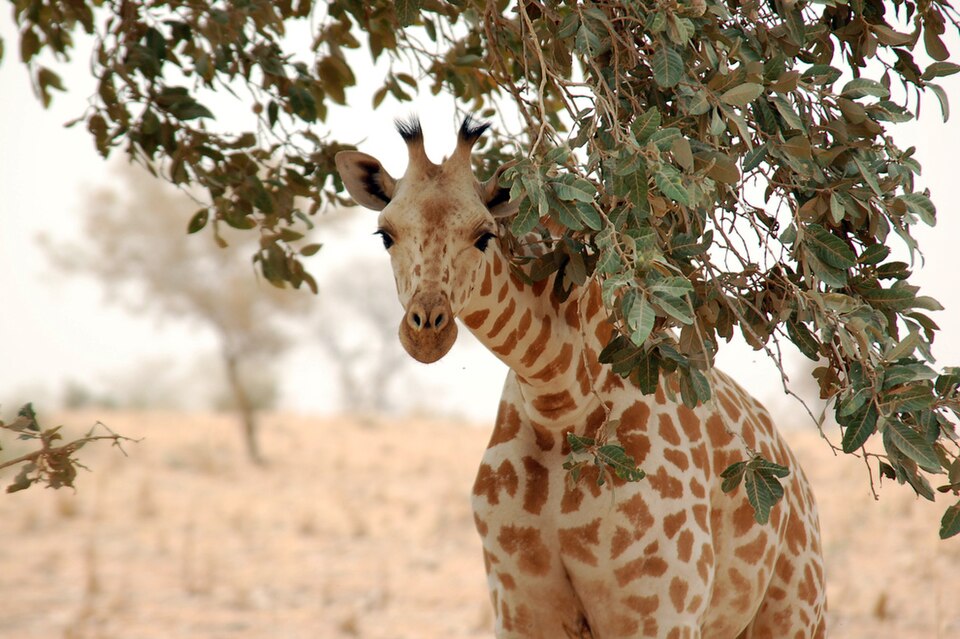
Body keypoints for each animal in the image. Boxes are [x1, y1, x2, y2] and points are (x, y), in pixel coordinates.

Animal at [335, 117, 827, 639]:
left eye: (484, 235)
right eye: (386, 234)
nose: (427, 330)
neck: (559, 402)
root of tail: (798, 480)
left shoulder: (664, 611)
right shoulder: (519, 606)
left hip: (796, 613)